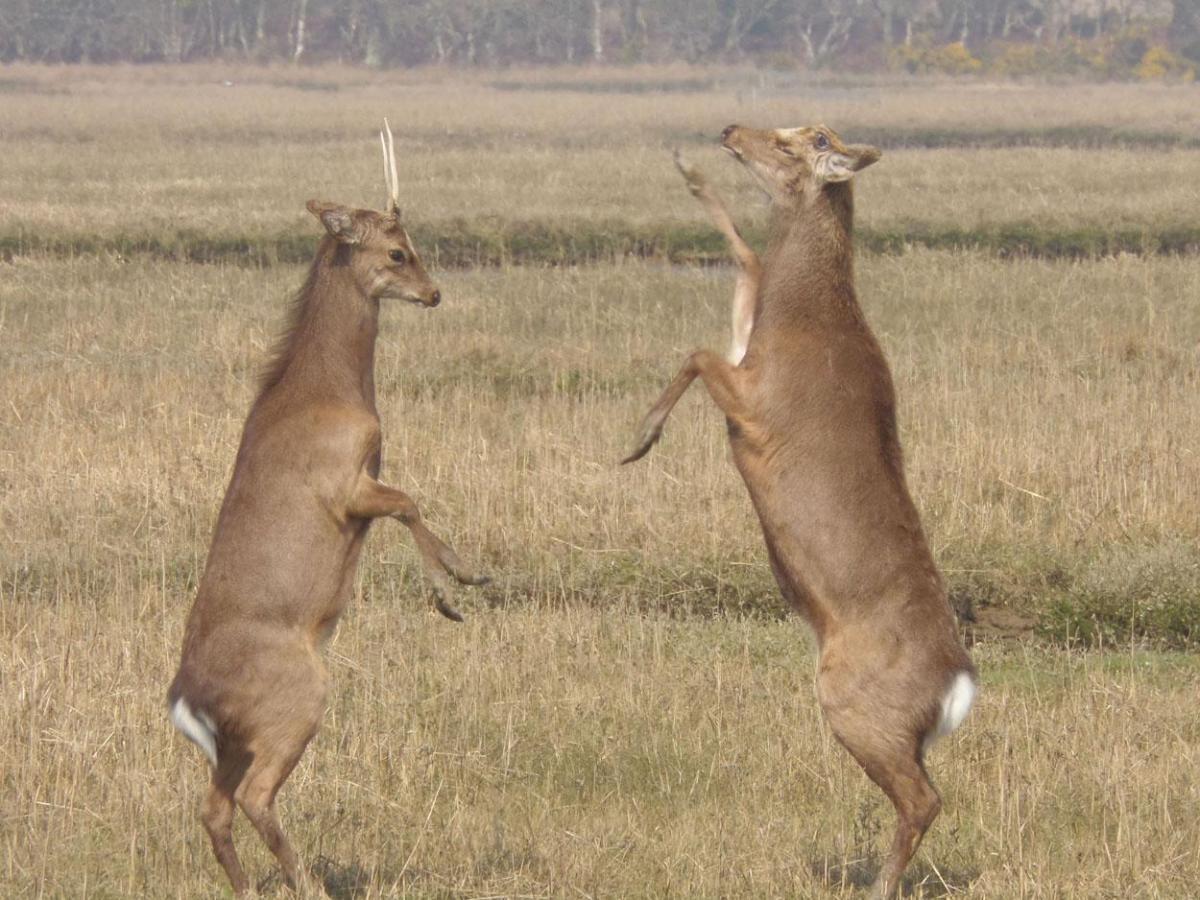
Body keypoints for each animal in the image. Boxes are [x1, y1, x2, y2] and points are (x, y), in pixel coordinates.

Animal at [168, 123, 487, 897]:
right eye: (397, 250)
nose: (433, 292)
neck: (329, 386)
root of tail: (187, 698)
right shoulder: (346, 484)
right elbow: (410, 504)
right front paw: (457, 586)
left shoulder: (363, 483)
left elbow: (407, 505)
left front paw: (454, 588)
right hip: (298, 699)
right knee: (256, 799)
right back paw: (308, 882)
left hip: (234, 741)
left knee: (214, 810)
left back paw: (253, 887)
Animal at [628, 123, 974, 897]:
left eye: (804, 142)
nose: (730, 129)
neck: (802, 312)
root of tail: (957, 685)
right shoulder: (745, 344)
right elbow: (745, 257)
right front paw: (686, 167)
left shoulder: (756, 407)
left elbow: (695, 350)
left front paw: (639, 438)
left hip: (853, 703)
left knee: (924, 797)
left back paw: (878, 885)